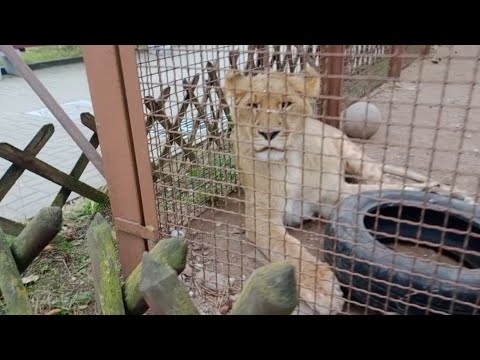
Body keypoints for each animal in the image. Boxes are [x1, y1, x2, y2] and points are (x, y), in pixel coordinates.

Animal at [224, 62, 476, 316]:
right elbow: (289, 247)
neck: (289, 162)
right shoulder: (260, 217)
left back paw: (445, 192)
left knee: (383, 182)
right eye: (253, 106)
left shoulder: (332, 200)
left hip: (355, 160)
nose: (268, 134)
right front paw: (323, 288)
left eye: (286, 104)